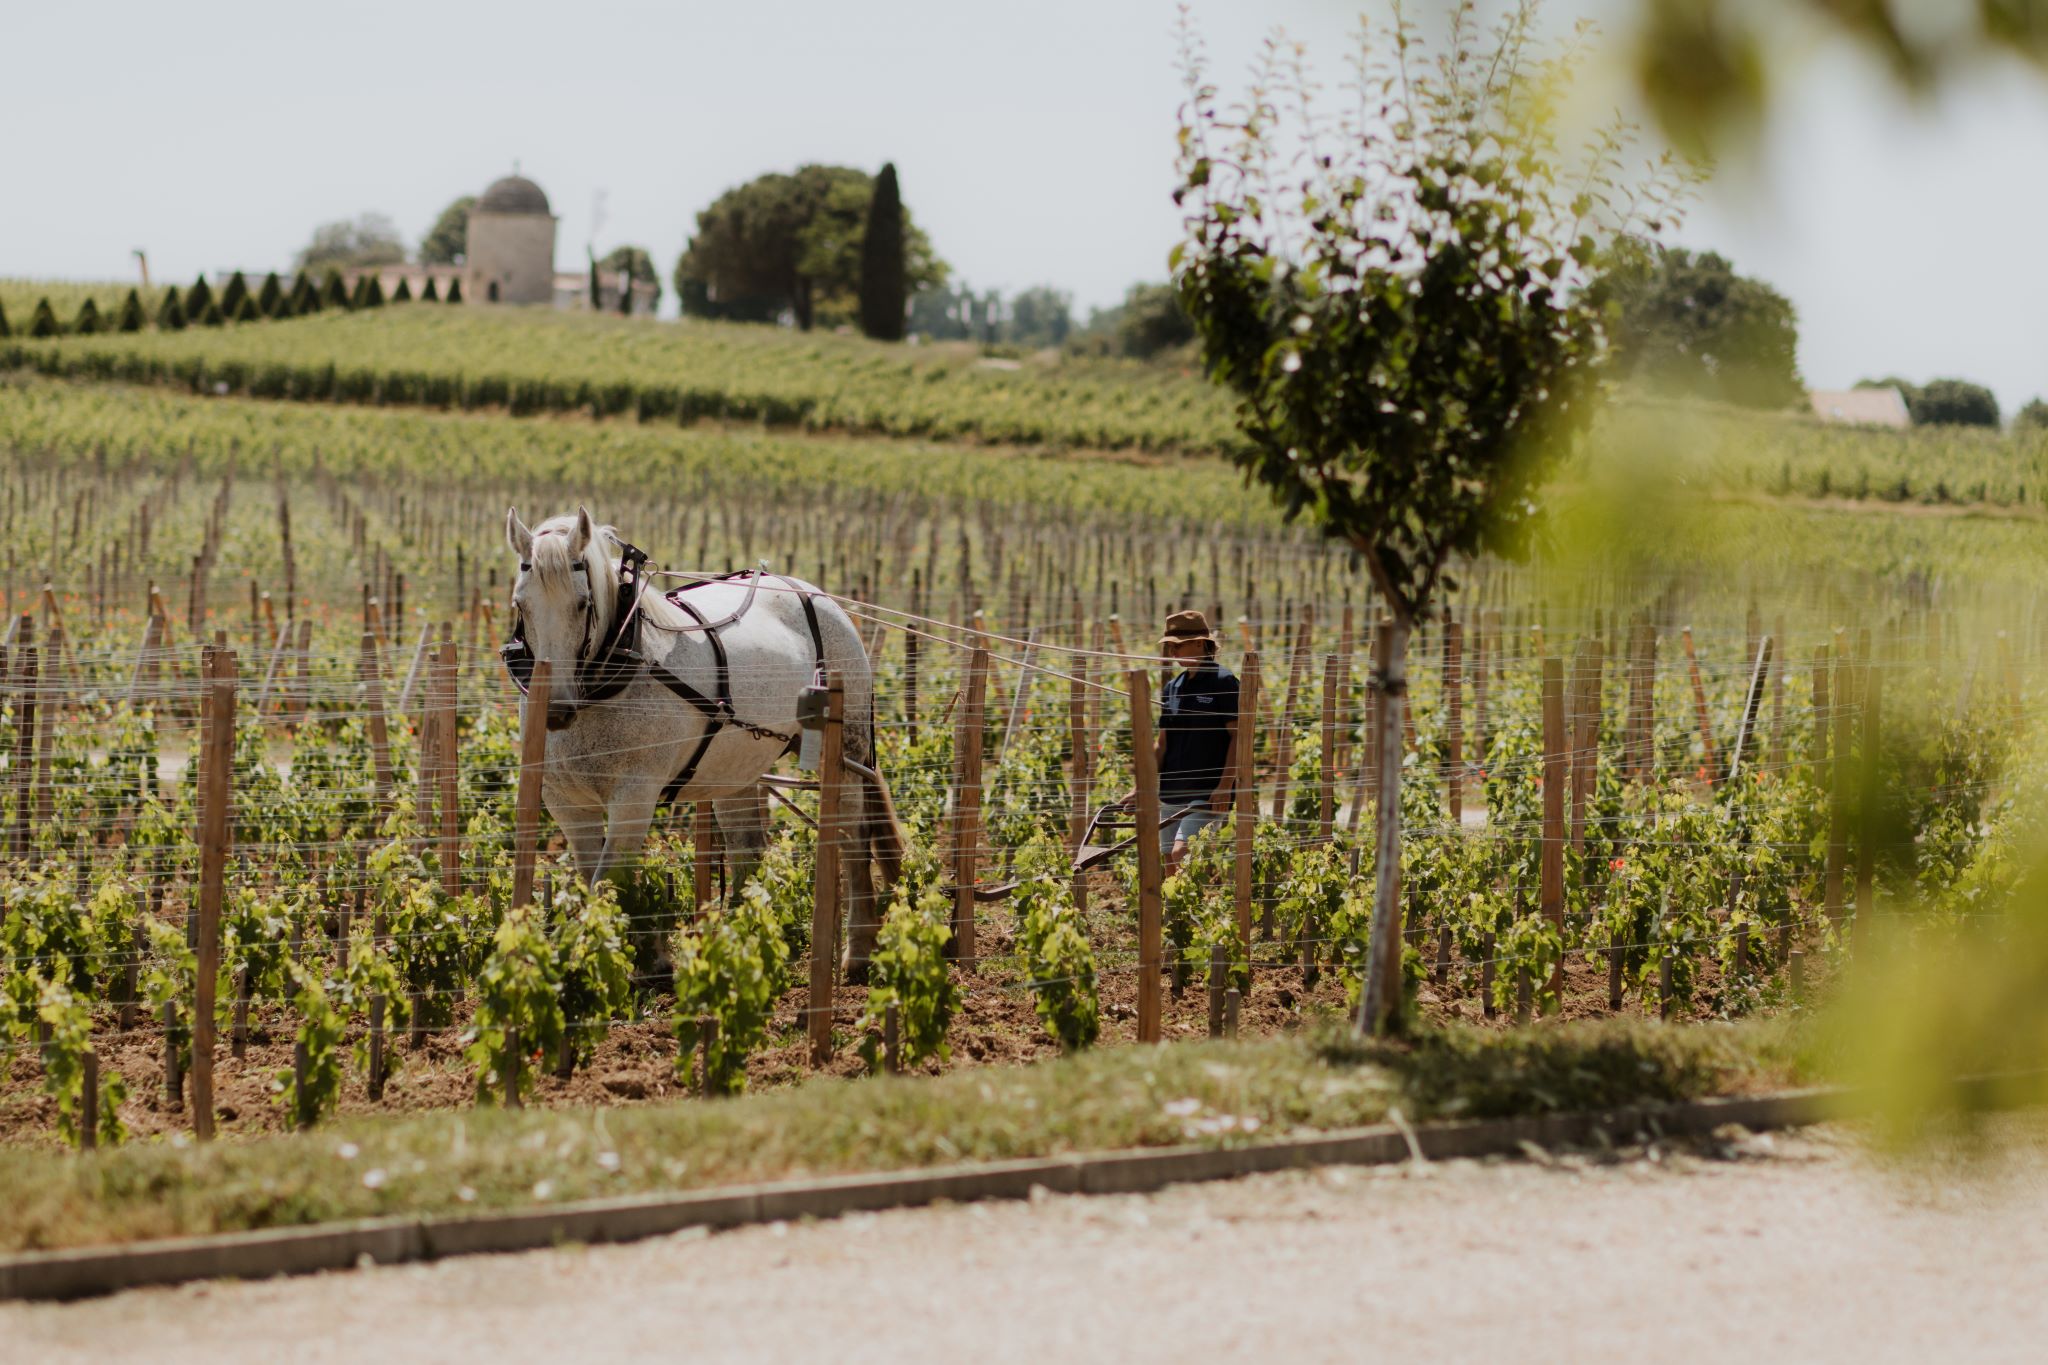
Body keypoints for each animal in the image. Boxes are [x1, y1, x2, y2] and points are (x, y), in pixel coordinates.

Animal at [505, 507, 905, 978]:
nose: (555, 710)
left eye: (583, 604)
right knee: (748, 847)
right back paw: (742, 942)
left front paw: (625, 962)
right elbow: (592, 881)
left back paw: (857, 948)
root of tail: (811, 592)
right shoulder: (564, 801)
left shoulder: (634, 796)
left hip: (845, 749)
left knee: (851, 836)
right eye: (520, 604)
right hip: (738, 765)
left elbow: (609, 879)